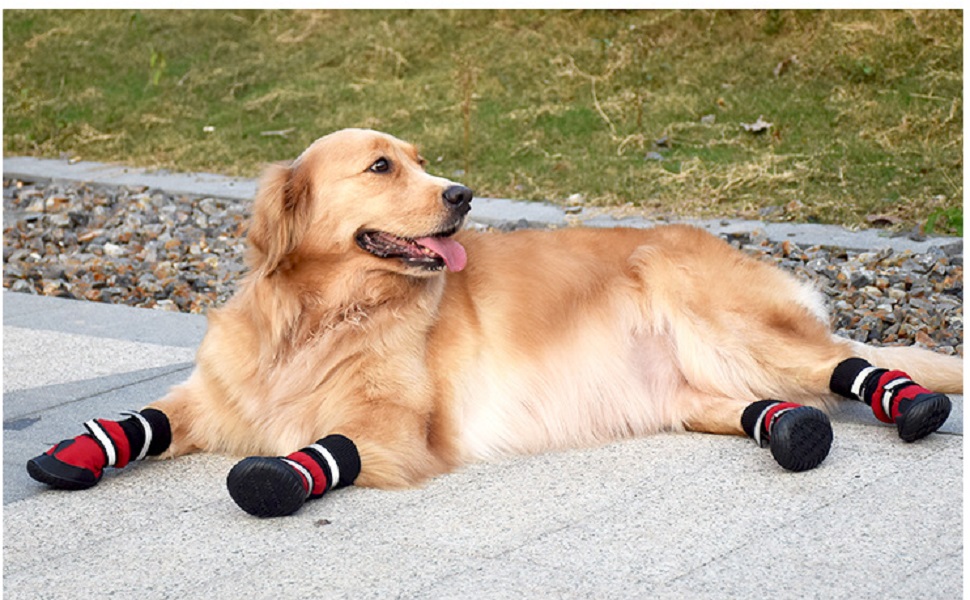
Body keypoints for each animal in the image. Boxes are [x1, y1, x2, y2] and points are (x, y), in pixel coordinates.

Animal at [28, 130, 960, 516]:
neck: (318, 314)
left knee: (852, 364)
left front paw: (270, 479)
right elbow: (137, 419)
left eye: (420, 158)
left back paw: (912, 404)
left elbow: (318, 454)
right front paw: (75, 453)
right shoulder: (216, 396)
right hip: (693, 394)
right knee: (774, 408)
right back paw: (794, 432)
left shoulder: (395, 430)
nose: (463, 193)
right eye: (382, 165)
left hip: (728, 319)